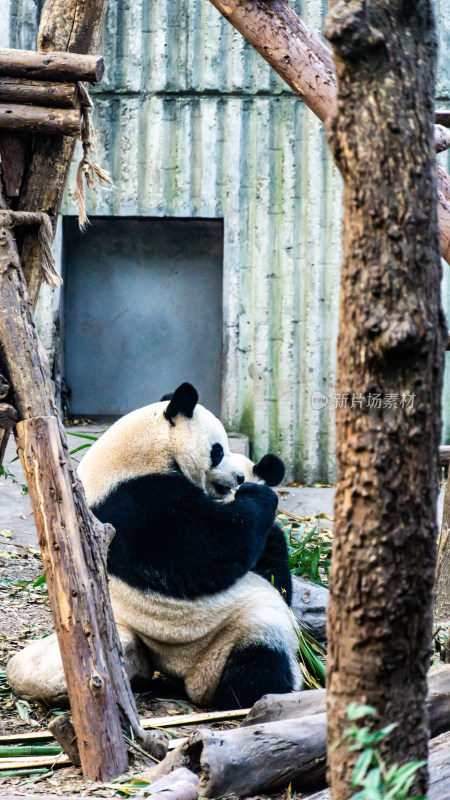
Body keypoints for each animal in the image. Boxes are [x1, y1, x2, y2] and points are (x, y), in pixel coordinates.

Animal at [7, 384, 300, 708]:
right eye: (219, 450)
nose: (237, 477)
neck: (147, 447)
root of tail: (189, 679)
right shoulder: (134, 501)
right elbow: (202, 551)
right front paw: (260, 496)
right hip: (221, 632)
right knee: (261, 646)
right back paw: (258, 692)